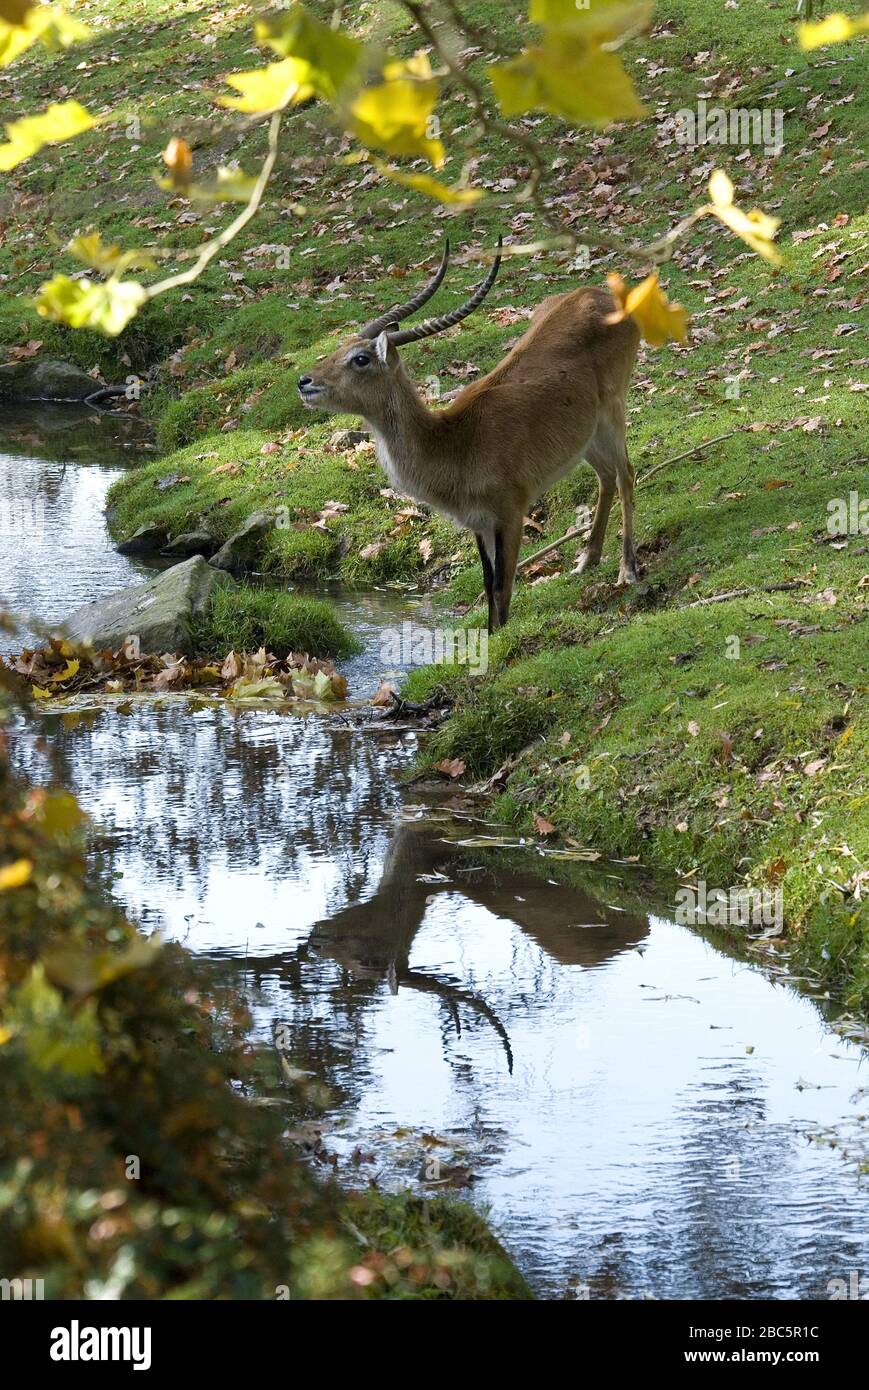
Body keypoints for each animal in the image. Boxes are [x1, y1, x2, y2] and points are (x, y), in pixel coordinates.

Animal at [297, 239, 636, 631]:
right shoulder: (479, 523)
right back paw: (585, 562)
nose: (304, 381)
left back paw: (627, 571)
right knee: (606, 476)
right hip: (586, 437)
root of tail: (598, 294)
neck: (454, 441)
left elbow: (503, 586)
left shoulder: (510, 513)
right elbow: (488, 585)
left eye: (361, 358)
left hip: (612, 413)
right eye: (339, 347)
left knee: (626, 474)